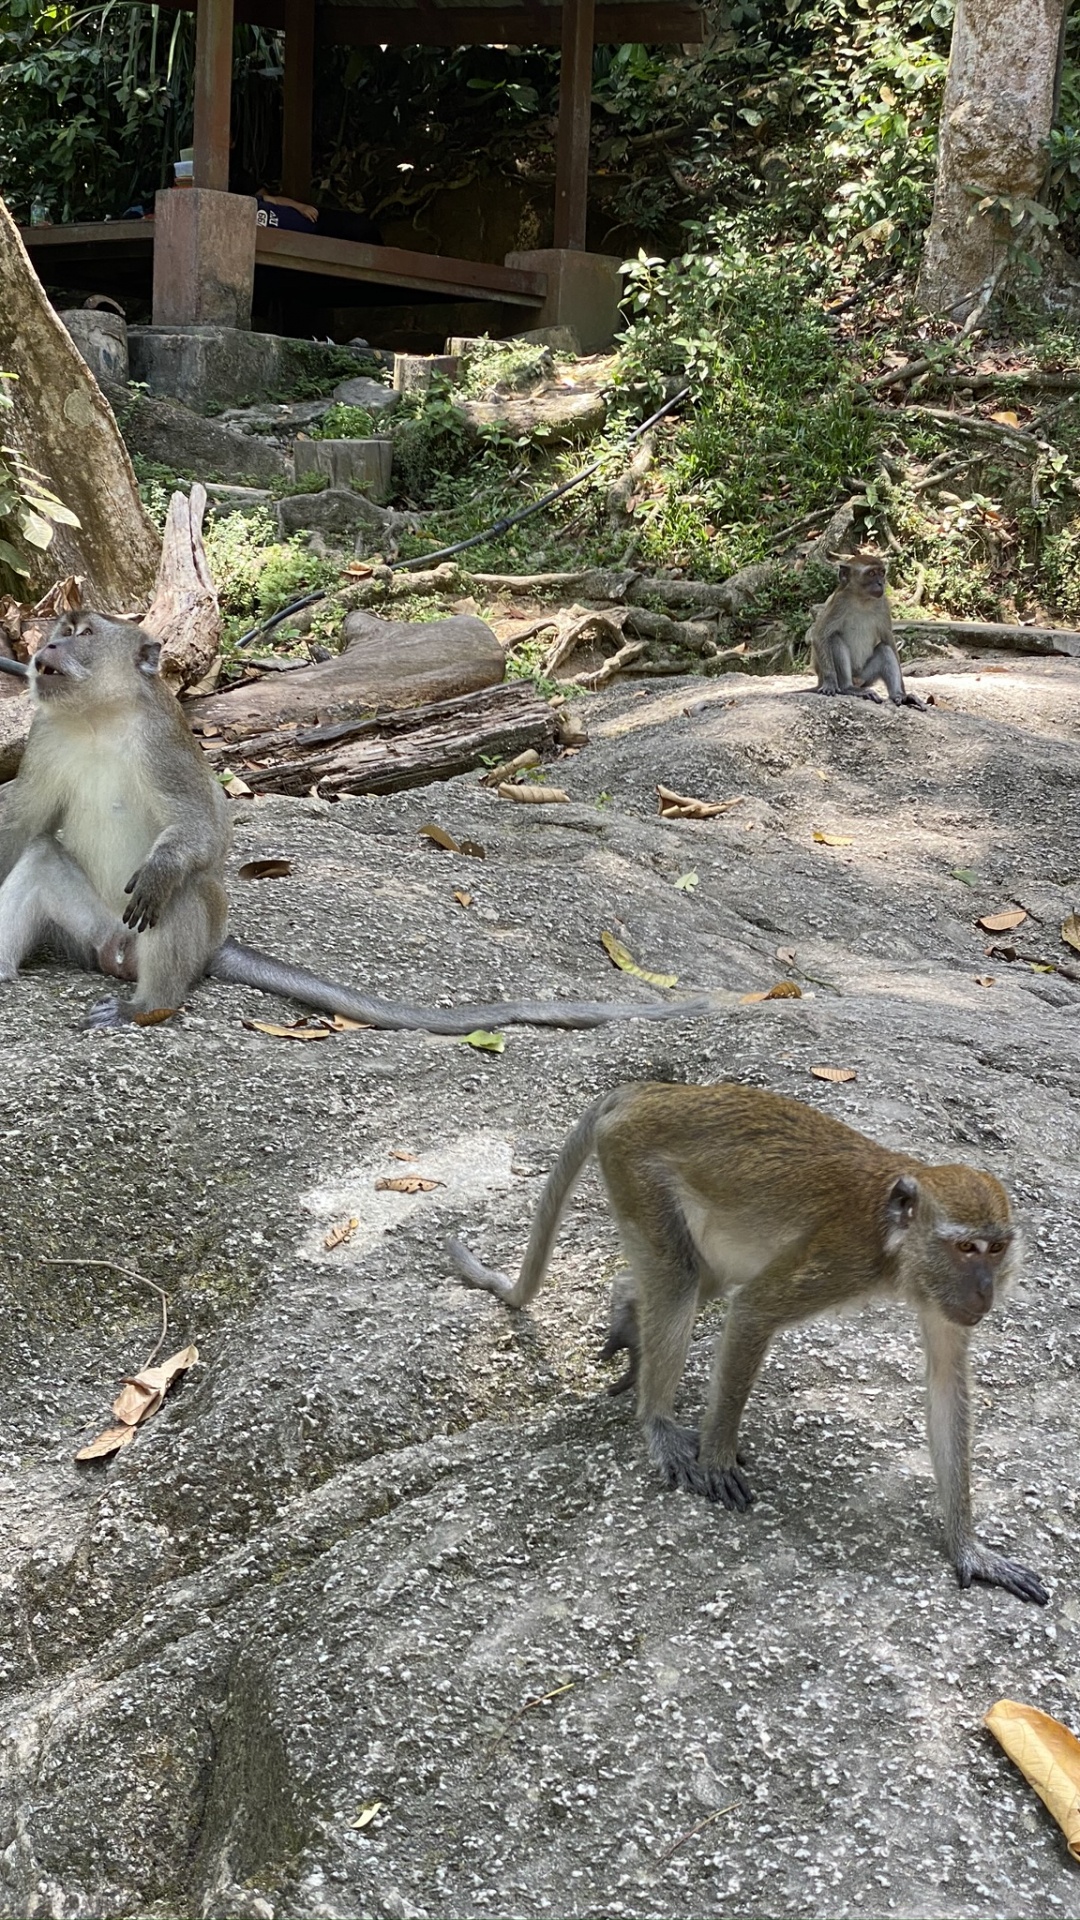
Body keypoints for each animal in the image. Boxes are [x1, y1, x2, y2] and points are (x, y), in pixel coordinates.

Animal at [0, 612, 737, 1034]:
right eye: (55, 631)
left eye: (81, 632)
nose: (44, 647)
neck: (99, 719)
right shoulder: (45, 739)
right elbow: (24, 820)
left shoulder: (164, 746)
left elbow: (203, 833)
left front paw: (163, 867)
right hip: (94, 933)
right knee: (40, 860)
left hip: (170, 939)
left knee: (182, 893)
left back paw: (147, 1004)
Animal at [446, 1082, 1048, 1604]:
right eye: (965, 1247)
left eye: (995, 1248)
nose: (986, 1291)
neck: (894, 1239)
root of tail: (652, 1090)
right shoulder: (841, 1260)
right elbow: (753, 1310)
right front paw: (716, 1460)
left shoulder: (940, 1299)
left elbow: (946, 1384)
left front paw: (967, 1548)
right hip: (634, 1165)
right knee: (679, 1278)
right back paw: (658, 1421)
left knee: (693, 1279)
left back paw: (627, 1309)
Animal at [808, 551, 926, 711]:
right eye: (871, 573)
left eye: (881, 573)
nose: (880, 583)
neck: (862, 599)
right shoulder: (839, 602)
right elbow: (820, 634)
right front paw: (830, 683)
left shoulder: (883, 603)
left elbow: (888, 639)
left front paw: (904, 692)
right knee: (834, 639)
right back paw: (848, 688)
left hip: (865, 677)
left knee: (885, 649)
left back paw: (899, 696)